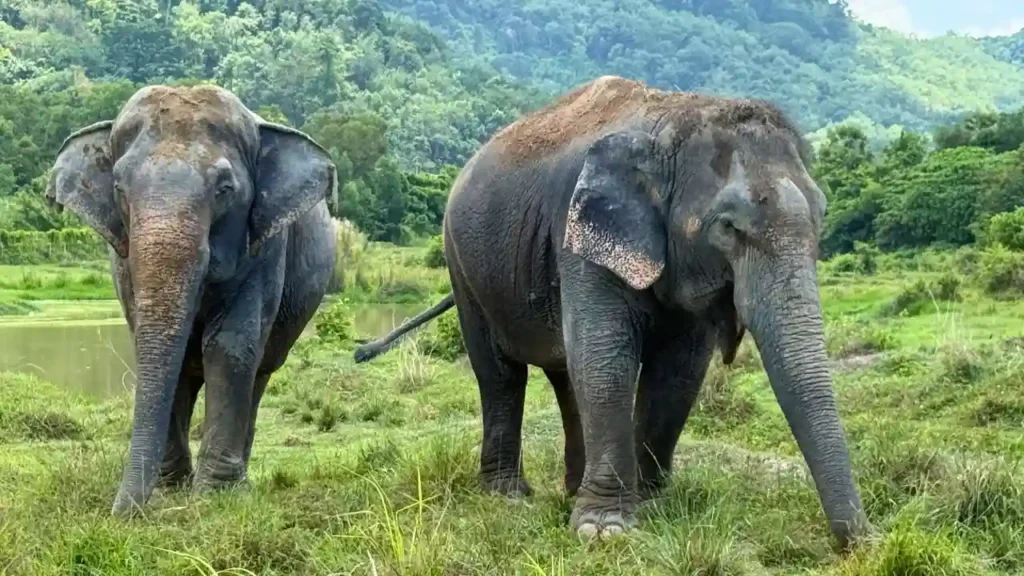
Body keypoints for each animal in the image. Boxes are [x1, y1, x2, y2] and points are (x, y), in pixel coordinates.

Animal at [45, 84, 337, 516]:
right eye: (118, 189)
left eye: (225, 190)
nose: (119, 517)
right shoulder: (122, 260)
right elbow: (162, 350)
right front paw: (171, 490)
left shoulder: (265, 247)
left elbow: (229, 346)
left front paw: (215, 496)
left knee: (259, 373)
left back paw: (239, 481)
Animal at [352, 75, 871, 549]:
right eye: (727, 226)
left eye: (823, 216)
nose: (864, 541)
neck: (675, 118)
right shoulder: (580, 235)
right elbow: (606, 358)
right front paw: (603, 531)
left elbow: (678, 370)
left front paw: (650, 503)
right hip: (462, 267)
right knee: (500, 374)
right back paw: (509, 495)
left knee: (565, 375)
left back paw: (569, 489)